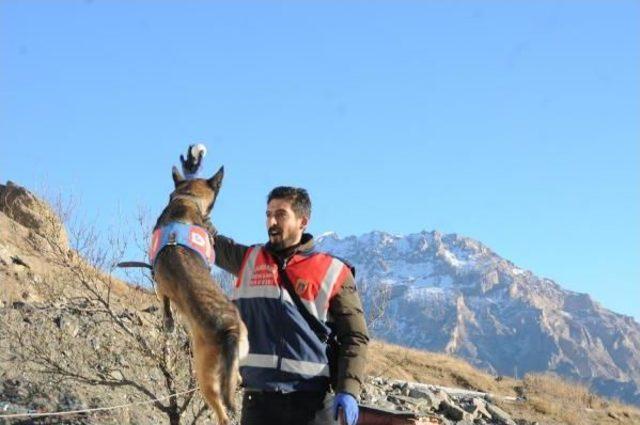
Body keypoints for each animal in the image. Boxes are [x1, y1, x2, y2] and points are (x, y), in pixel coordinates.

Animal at [151, 164, 250, 422]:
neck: (187, 199)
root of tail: (230, 330)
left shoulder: (160, 282)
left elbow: (165, 304)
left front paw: (168, 322)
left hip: (205, 375)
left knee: (222, 415)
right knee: (234, 376)